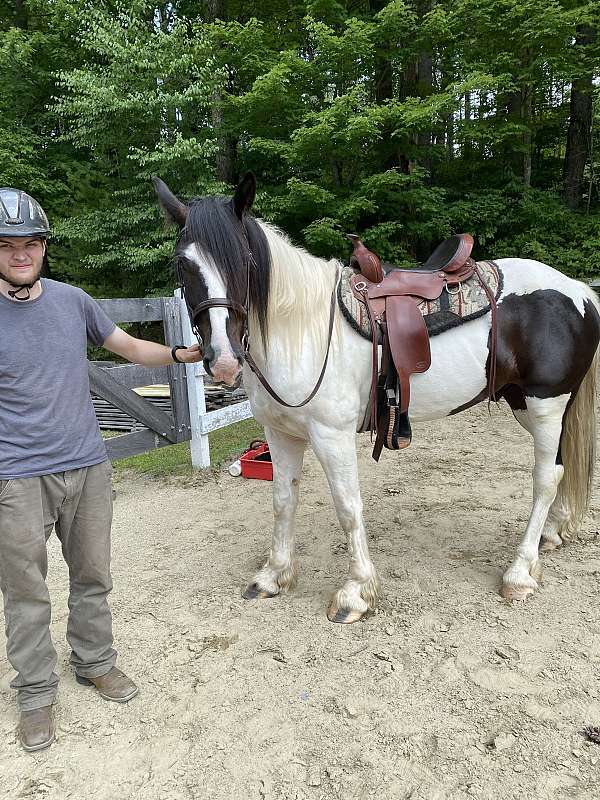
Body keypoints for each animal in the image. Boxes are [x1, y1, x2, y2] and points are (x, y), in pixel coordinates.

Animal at [155, 173, 600, 624]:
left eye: (245, 261)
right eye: (182, 266)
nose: (224, 360)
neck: (303, 329)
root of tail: (577, 290)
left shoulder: (331, 436)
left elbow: (348, 507)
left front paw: (357, 593)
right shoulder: (281, 434)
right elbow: (283, 500)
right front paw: (274, 575)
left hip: (546, 405)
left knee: (545, 479)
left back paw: (520, 572)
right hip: (532, 406)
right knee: (560, 467)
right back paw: (551, 534)